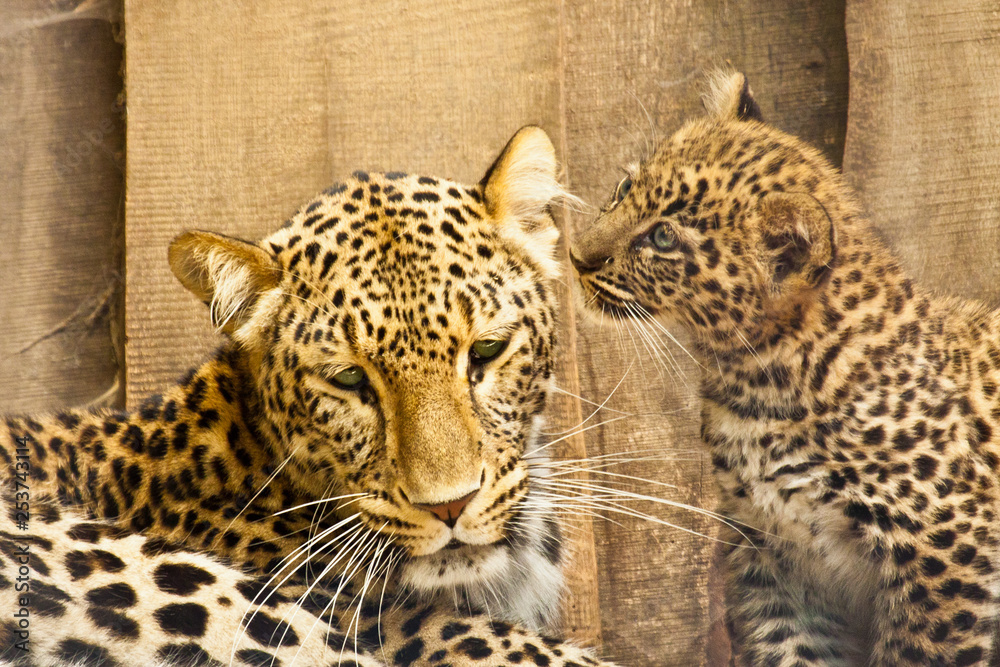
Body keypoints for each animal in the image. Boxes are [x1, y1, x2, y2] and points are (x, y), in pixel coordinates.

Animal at [571, 70, 1000, 666]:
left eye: (663, 238)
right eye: (622, 189)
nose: (576, 256)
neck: (754, 383)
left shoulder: (948, 547)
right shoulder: (772, 554)